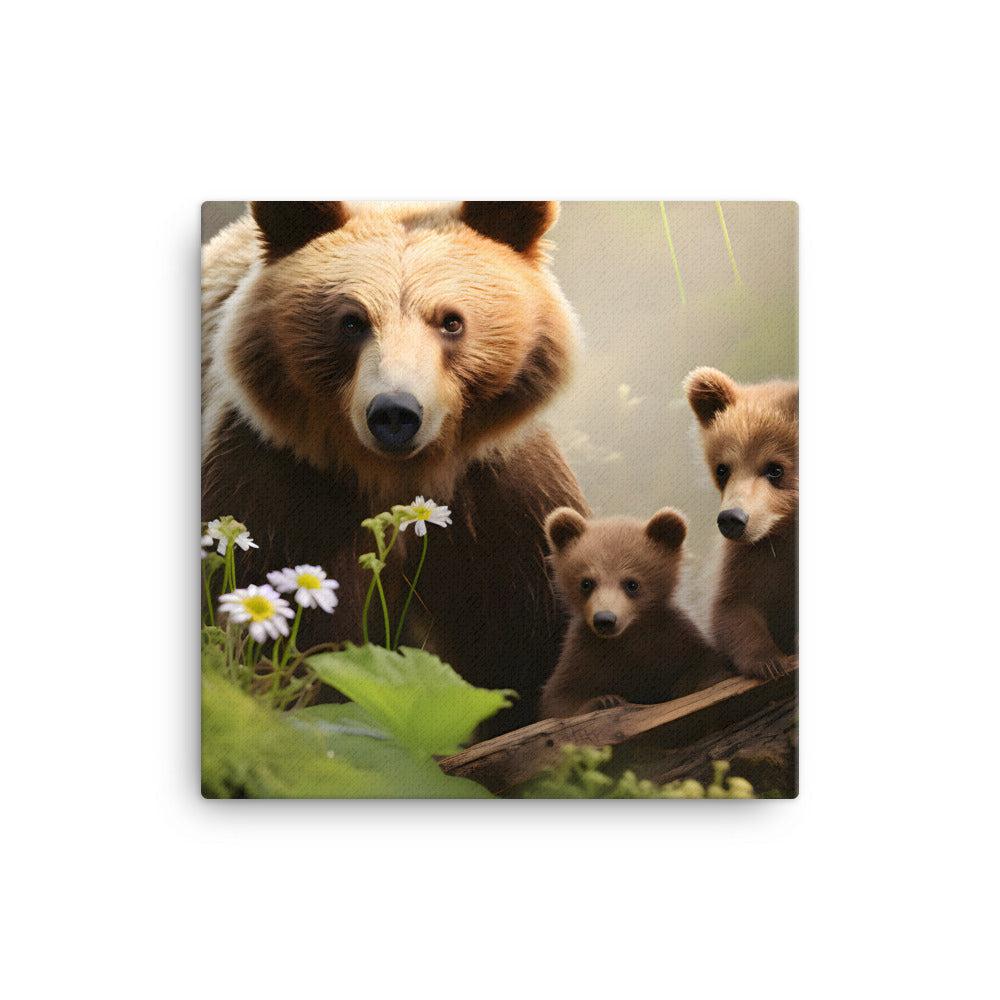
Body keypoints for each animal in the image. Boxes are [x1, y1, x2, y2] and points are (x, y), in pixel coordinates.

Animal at [202, 201, 589, 735]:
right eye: (351, 321)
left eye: (451, 321)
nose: (394, 412)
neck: (399, 479)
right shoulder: (275, 483)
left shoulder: (501, 500)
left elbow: (524, 636)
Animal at [539, 506, 733, 718]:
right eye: (586, 583)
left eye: (632, 584)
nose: (605, 619)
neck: (630, 634)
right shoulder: (584, 653)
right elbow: (559, 697)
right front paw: (605, 700)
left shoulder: (674, 639)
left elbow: (708, 668)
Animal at [684, 366, 798, 680]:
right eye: (723, 469)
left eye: (775, 469)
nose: (732, 519)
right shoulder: (751, 559)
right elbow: (733, 607)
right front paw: (768, 661)